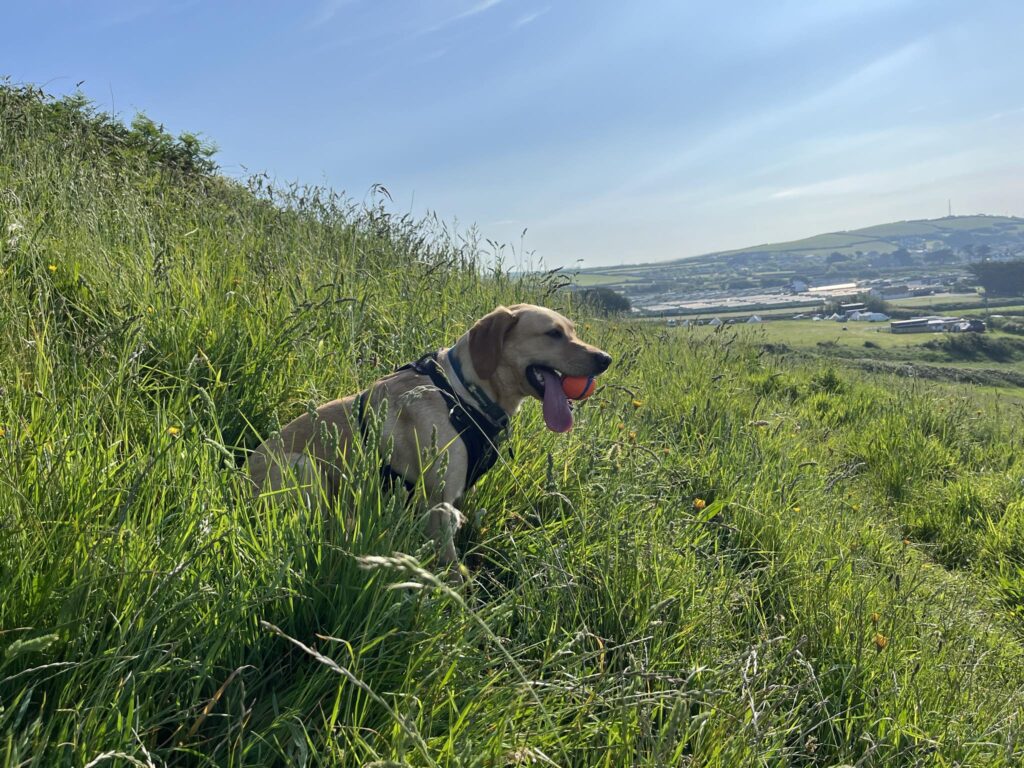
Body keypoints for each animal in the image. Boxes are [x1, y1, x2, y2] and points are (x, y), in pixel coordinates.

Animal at [248, 305, 610, 573]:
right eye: (553, 334)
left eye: (573, 331)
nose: (605, 359)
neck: (463, 395)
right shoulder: (438, 501)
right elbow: (451, 568)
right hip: (303, 467)